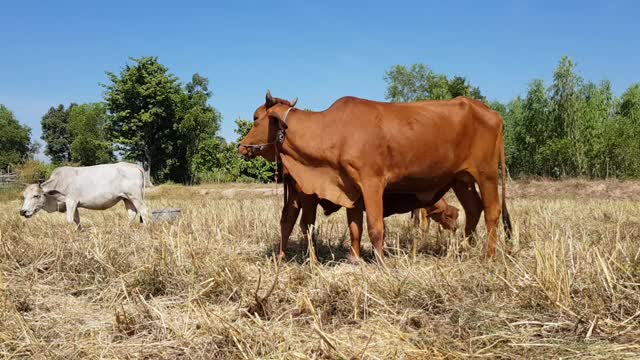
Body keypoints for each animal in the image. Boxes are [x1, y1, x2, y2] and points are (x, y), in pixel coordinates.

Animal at [19, 162, 150, 226]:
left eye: (36, 195)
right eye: (24, 196)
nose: (22, 212)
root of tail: (135, 165)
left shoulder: (71, 201)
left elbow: (69, 220)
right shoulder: (75, 205)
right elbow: (77, 221)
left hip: (135, 197)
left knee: (144, 212)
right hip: (126, 198)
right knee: (132, 214)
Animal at [242, 90, 512, 258]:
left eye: (255, 118)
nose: (242, 146)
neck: (333, 130)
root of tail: (493, 113)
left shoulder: (371, 183)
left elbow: (374, 226)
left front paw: (380, 262)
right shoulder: (350, 189)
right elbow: (355, 227)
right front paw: (355, 259)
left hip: (486, 173)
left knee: (492, 212)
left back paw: (488, 257)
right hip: (461, 179)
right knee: (473, 210)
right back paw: (464, 250)